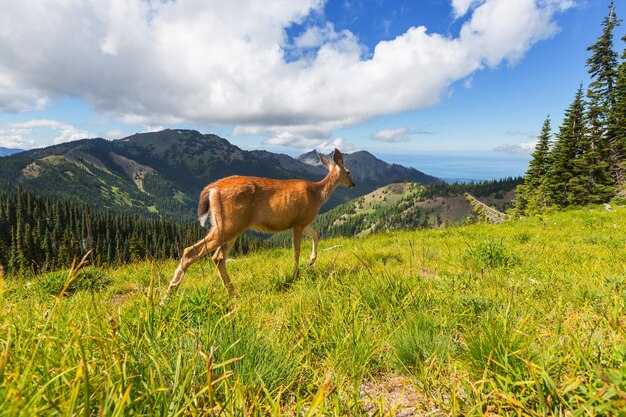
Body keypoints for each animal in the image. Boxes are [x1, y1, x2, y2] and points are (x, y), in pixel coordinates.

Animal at [163, 146, 354, 296]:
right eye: (348, 172)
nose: (353, 184)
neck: (317, 194)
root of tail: (212, 188)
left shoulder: (302, 221)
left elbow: (316, 235)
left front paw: (310, 262)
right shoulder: (298, 222)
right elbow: (296, 250)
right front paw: (296, 274)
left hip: (229, 225)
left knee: (218, 257)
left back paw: (231, 292)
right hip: (230, 224)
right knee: (191, 252)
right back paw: (169, 294)